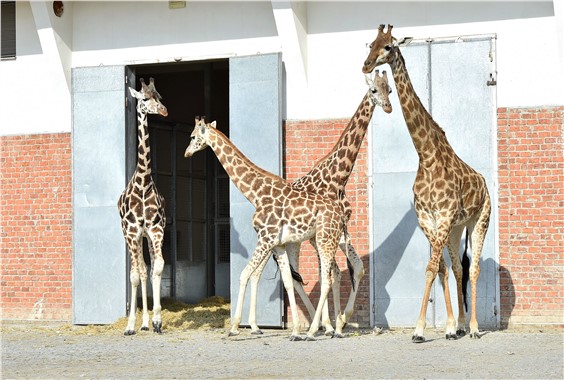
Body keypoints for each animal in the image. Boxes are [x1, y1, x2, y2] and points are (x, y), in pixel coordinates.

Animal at [185, 117, 344, 340]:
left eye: (192, 136)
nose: (186, 153)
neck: (256, 194)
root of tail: (340, 214)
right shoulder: (278, 244)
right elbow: (287, 281)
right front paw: (295, 330)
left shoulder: (265, 238)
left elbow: (244, 274)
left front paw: (234, 327)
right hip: (322, 239)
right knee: (331, 276)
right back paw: (332, 329)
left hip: (324, 239)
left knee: (328, 279)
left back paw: (315, 330)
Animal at [245, 71, 394, 336]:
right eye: (374, 90)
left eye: (390, 89)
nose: (387, 106)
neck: (338, 177)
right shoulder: (320, 235)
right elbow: (330, 272)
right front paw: (330, 323)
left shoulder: (340, 229)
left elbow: (351, 268)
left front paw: (340, 320)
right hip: (282, 242)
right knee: (272, 273)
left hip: (291, 242)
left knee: (290, 275)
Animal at [364, 25, 492, 342]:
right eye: (371, 44)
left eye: (388, 47)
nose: (367, 65)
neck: (427, 154)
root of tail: (484, 182)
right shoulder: (428, 219)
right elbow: (439, 268)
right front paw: (444, 326)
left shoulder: (443, 216)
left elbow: (432, 266)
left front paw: (420, 330)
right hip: (457, 228)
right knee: (458, 268)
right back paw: (460, 326)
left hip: (480, 220)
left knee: (474, 269)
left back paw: (473, 328)